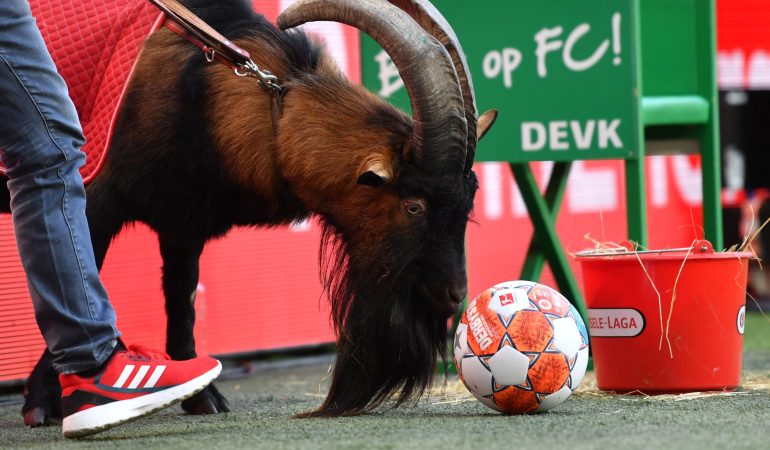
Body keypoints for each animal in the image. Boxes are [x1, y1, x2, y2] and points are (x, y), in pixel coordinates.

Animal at [3, 0, 497, 424]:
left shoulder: (184, 220)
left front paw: (202, 395)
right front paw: (47, 400)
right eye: (413, 206)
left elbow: (182, 298)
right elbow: (75, 270)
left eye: (466, 207)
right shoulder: (97, 196)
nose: (454, 295)